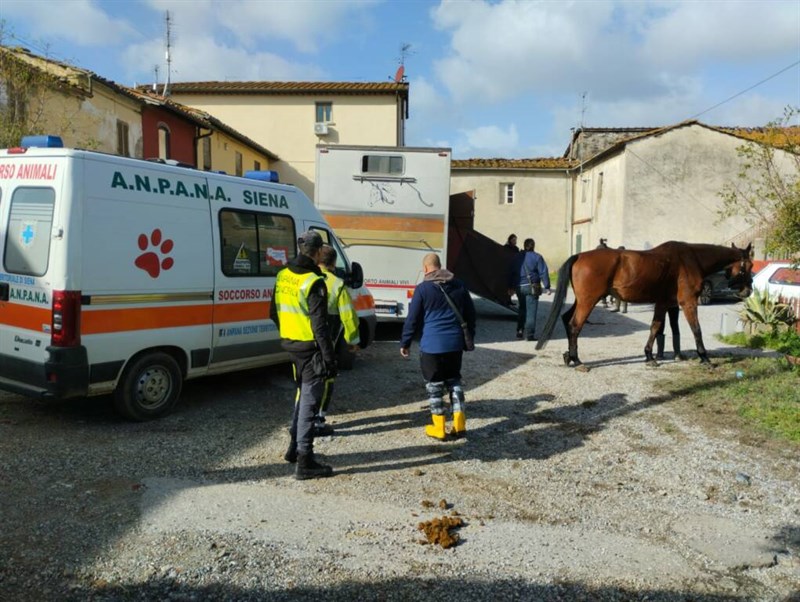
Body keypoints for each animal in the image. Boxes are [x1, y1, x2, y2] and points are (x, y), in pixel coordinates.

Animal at [536, 240, 752, 366]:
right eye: (748, 265)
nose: (748, 290)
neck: (691, 260)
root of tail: (579, 255)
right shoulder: (688, 302)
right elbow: (696, 329)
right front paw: (704, 357)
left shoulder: (664, 303)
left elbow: (655, 328)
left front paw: (649, 356)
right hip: (588, 301)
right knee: (575, 325)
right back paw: (577, 360)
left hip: (582, 300)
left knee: (567, 319)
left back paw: (569, 356)